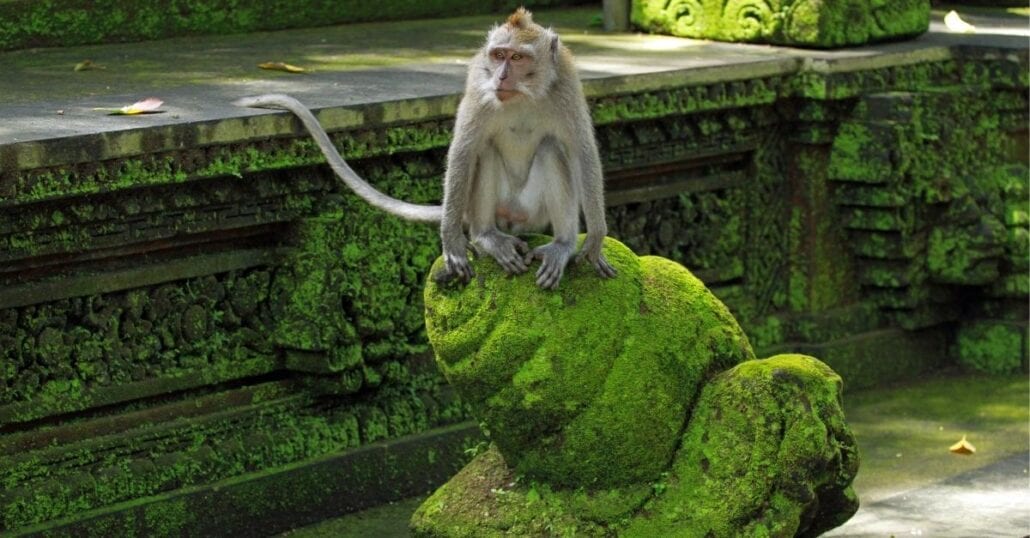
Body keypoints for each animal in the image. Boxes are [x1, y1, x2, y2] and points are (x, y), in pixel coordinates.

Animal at [236, 7, 613, 288]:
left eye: (518, 57)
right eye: (498, 55)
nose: (502, 76)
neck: (523, 95)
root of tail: (513, 220)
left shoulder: (566, 84)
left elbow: (583, 152)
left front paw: (594, 240)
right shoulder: (479, 82)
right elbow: (463, 151)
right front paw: (452, 242)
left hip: (536, 212)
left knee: (552, 148)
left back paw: (561, 245)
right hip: (490, 208)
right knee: (485, 152)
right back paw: (486, 237)